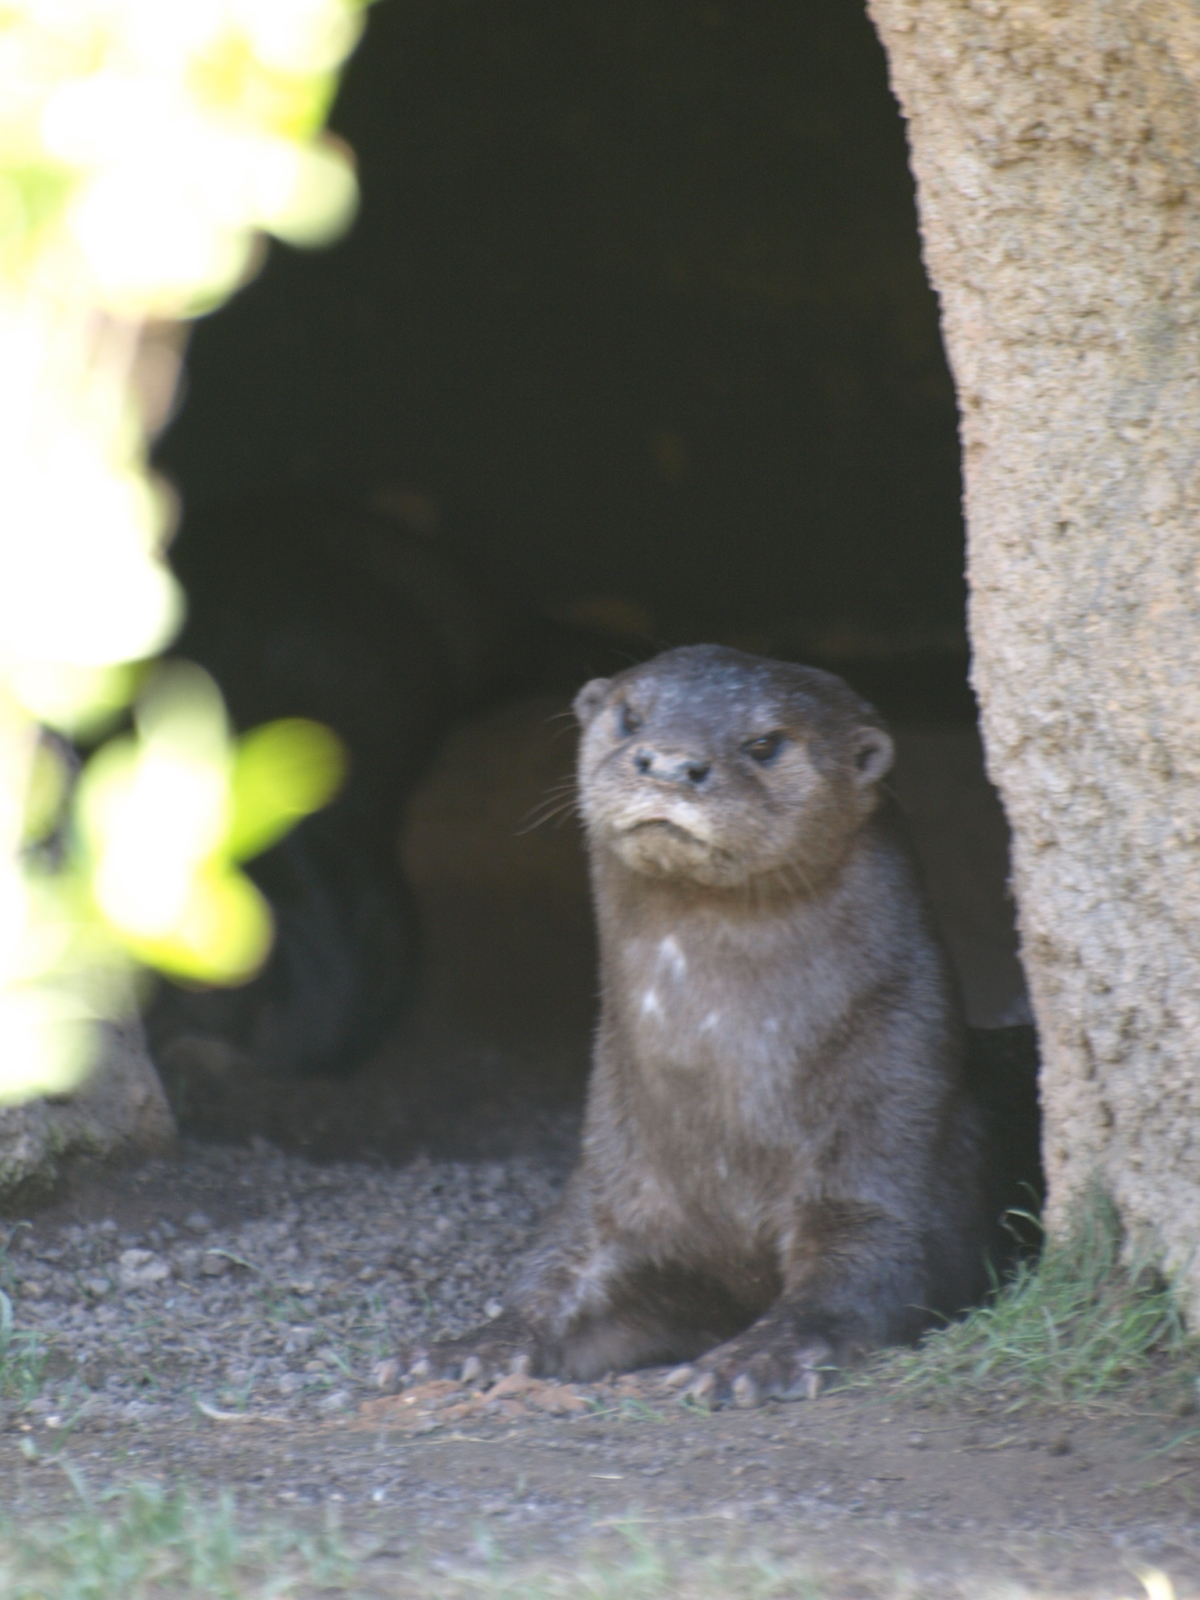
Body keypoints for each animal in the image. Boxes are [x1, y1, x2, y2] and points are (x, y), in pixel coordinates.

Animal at [408, 644, 989, 1405]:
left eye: (765, 744)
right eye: (630, 716)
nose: (668, 763)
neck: (727, 1123)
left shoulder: (892, 1145)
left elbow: (857, 1279)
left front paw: (753, 1358)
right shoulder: (610, 1188)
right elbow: (551, 1279)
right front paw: (470, 1347)